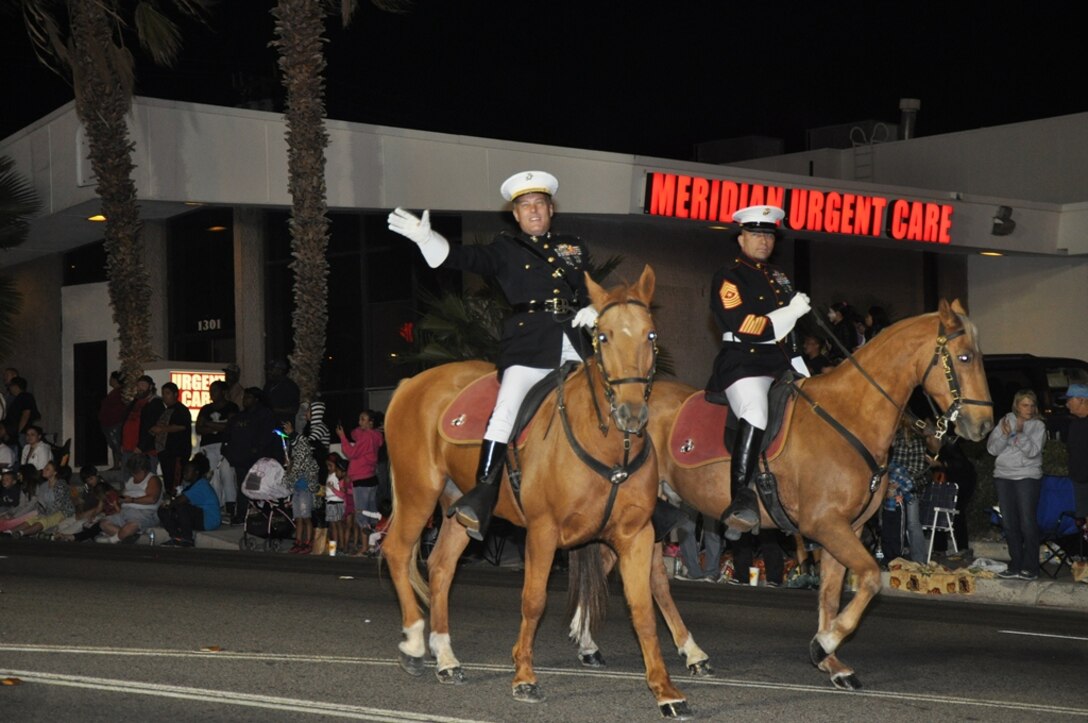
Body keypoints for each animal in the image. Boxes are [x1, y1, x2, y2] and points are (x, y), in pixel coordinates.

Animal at [380, 265, 687, 717]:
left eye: (651, 334)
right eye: (603, 336)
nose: (632, 413)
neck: (608, 445)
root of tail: (411, 383)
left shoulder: (635, 535)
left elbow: (643, 609)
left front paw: (665, 691)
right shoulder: (543, 531)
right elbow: (534, 599)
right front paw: (524, 676)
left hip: (458, 506)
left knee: (440, 567)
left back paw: (447, 658)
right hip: (418, 492)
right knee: (399, 552)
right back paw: (416, 642)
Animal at [570, 297, 996, 687]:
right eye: (964, 357)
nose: (983, 425)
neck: (848, 415)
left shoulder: (847, 529)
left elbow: (831, 593)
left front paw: (832, 662)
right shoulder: (826, 525)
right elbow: (871, 578)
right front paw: (824, 644)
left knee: (630, 570)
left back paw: (635, 646)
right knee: (642, 575)